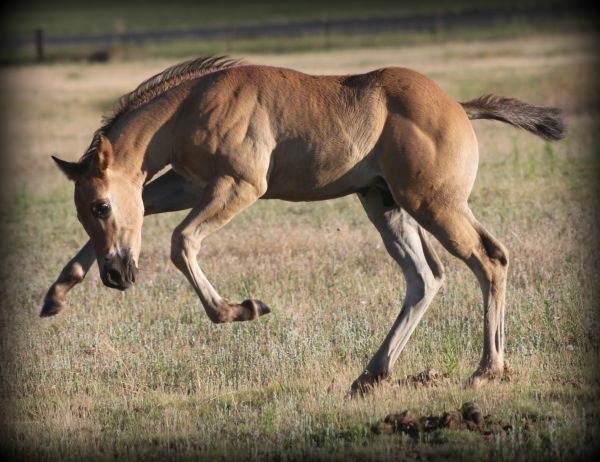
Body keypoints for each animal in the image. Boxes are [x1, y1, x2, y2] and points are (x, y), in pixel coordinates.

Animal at [43, 54, 564, 394]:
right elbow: (148, 209)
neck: (193, 103)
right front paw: (56, 295)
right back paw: (372, 375)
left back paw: (487, 370)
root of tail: (457, 106)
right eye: (84, 211)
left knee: (489, 259)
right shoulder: (189, 185)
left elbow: (181, 242)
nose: (117, 276)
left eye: (102, 206)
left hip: (433, 205)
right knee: (426, 277)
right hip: (386, 206)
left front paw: (243, 309)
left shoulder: (239, 186)